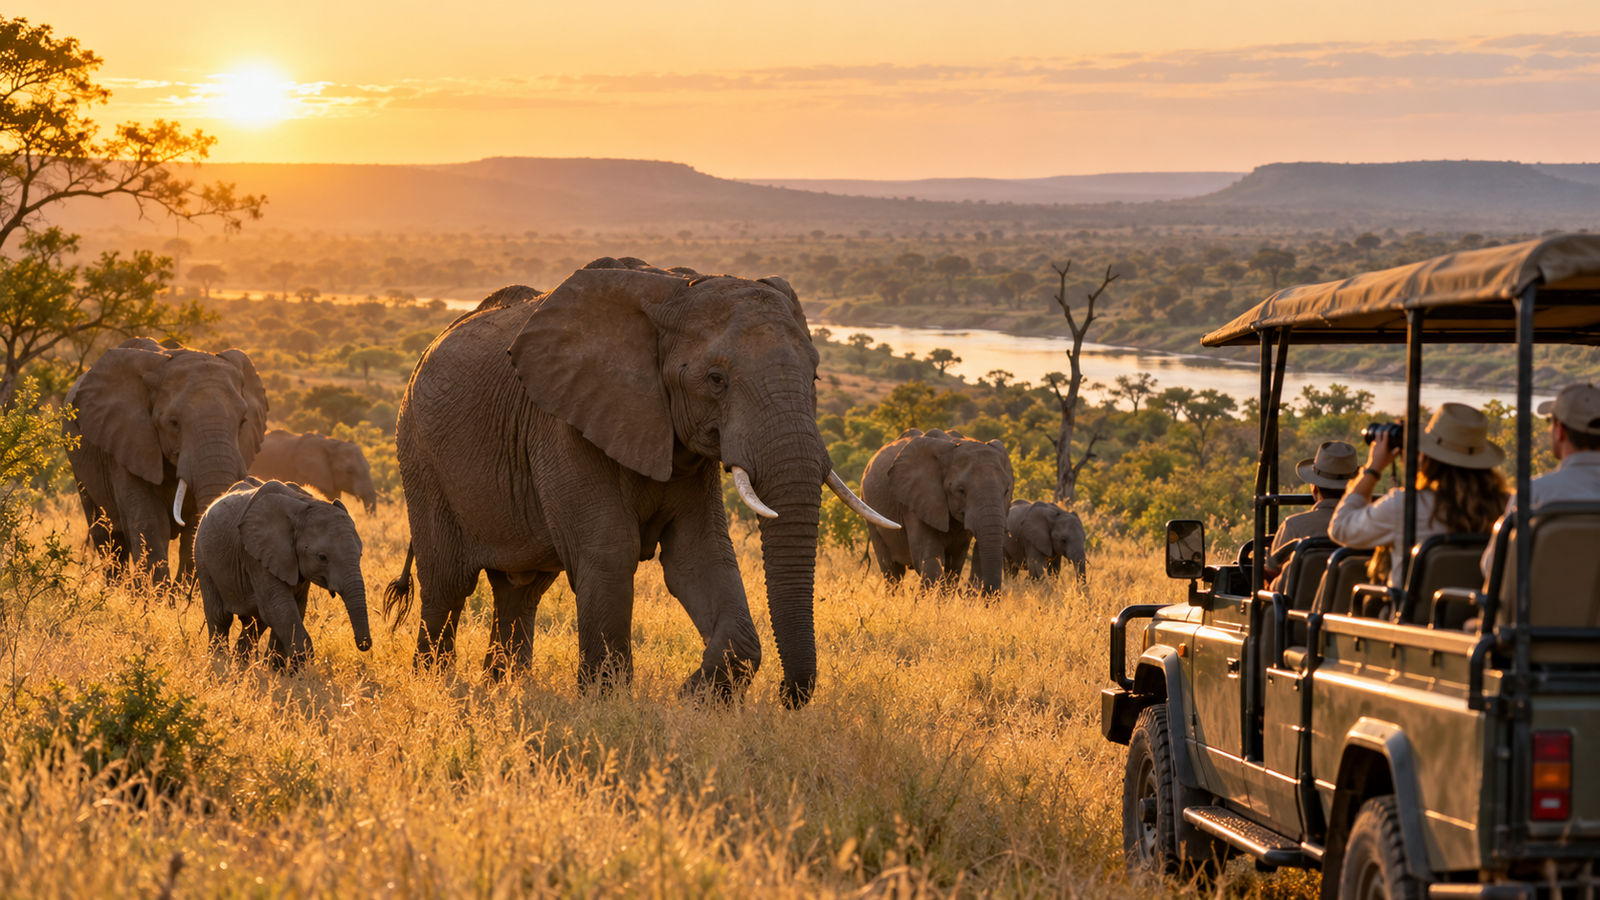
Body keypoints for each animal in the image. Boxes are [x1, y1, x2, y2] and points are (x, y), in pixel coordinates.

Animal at [66, 338, 269, 583]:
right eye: (174, 423)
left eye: (243, 422)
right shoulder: (127, 443)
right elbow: (150, 523)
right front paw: (157, 593)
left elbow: (193, 526)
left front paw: (181, 592)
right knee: (107, 536)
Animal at [195, 478, 372, 671]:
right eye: (322, 557)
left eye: (361, 554)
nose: (364, 645)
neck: (305, 505)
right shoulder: (256, 556)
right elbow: (280, 607)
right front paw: (300, 671)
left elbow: (294, 608)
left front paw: (276, 672)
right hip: (202, 558)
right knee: (221, 618)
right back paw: (219, 666)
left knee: (255, 622)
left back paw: (241, 668)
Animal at [383, 259, 893, 706]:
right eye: (716, 379)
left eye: (815, 376)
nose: (789, 696)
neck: (676, 288)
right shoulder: (564, 422)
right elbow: (611, 552)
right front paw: (609, 706)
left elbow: (700, 556)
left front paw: (691, 700)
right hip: (420, 455)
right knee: (448, 583)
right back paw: (435, 686)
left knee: (520, 589)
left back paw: (505, 687)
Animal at [861, 428, 1014, 593]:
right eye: (961, 491)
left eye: (1006, 491)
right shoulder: (916, 500)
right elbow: (929, 559)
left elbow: (955, 565)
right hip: (870, 509)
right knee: (892, 570)